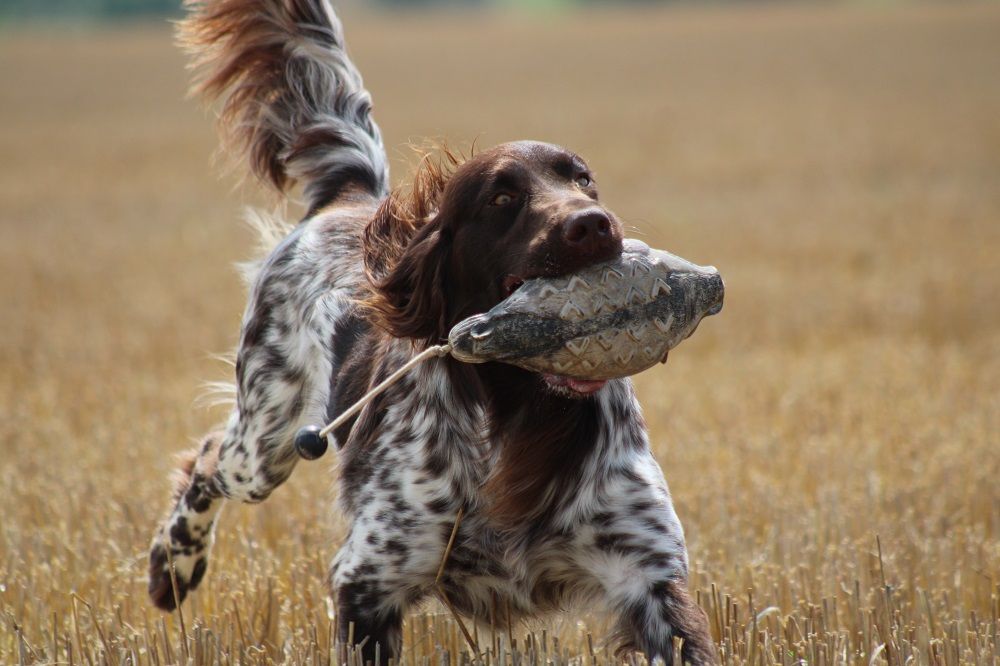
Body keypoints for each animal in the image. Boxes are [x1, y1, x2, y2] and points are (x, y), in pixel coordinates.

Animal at [148, 2, 720, 660]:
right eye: (501, 197)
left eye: (584, 180)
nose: (594, 225)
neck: (521, 415)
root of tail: (349, 200)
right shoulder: (368, 580)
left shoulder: (649, 576)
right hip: (268, 437)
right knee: (207, 459)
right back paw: (173, 566)